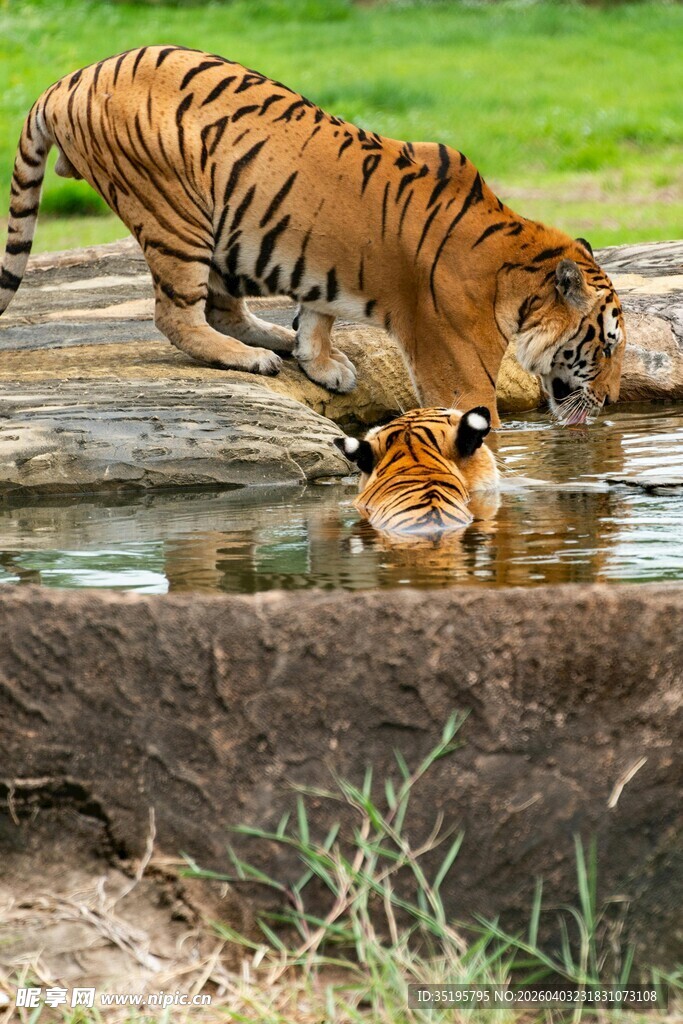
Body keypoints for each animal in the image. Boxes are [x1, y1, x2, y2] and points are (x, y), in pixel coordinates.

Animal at [0, 46, 625, 427]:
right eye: (607, 346)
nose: (615, 399)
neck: (513, 270)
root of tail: (65, 81)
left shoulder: (322, 258)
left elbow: (319, 311)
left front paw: (321, 363)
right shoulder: (459, 370)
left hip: (224, 227)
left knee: (223, 307)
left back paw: (272, 339)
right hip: (174, 213)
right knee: (177, 315)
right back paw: (249, 359)